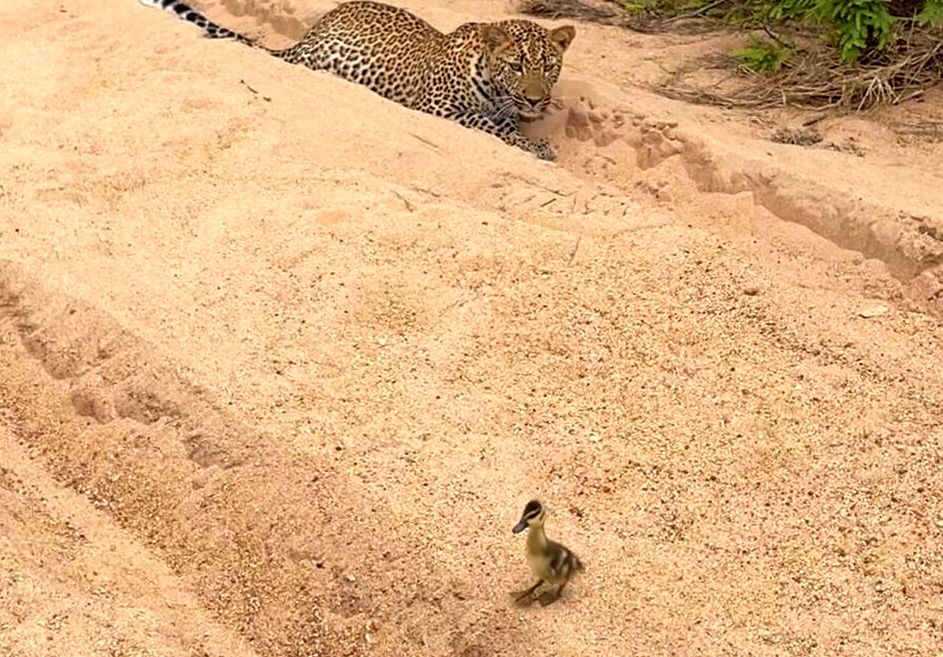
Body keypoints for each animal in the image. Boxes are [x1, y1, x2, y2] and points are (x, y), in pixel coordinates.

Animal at [136, 0, 572, 159]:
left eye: (549, 65)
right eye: (517, 65)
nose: (537, 100)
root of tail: (305, 38)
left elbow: (504, 123)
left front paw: (533, 137)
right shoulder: (437, 107)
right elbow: (487, 124)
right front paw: (536, 146)